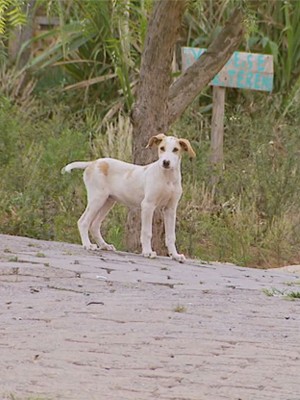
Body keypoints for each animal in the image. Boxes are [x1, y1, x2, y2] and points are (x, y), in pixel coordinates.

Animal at [62, 133, 196, 260]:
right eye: (162, 148)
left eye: (175, 149)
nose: (166, 162)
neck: (167, 178)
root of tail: (93, 163)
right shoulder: (148, 205)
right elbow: (147, 232)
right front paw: (147, 252)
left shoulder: (170, 209)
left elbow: (171, 236)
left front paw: (175, 255)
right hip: (97, 199)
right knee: (83, 222)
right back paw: (88, 245)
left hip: (107, 201)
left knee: (94, 225)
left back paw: (104, 245)